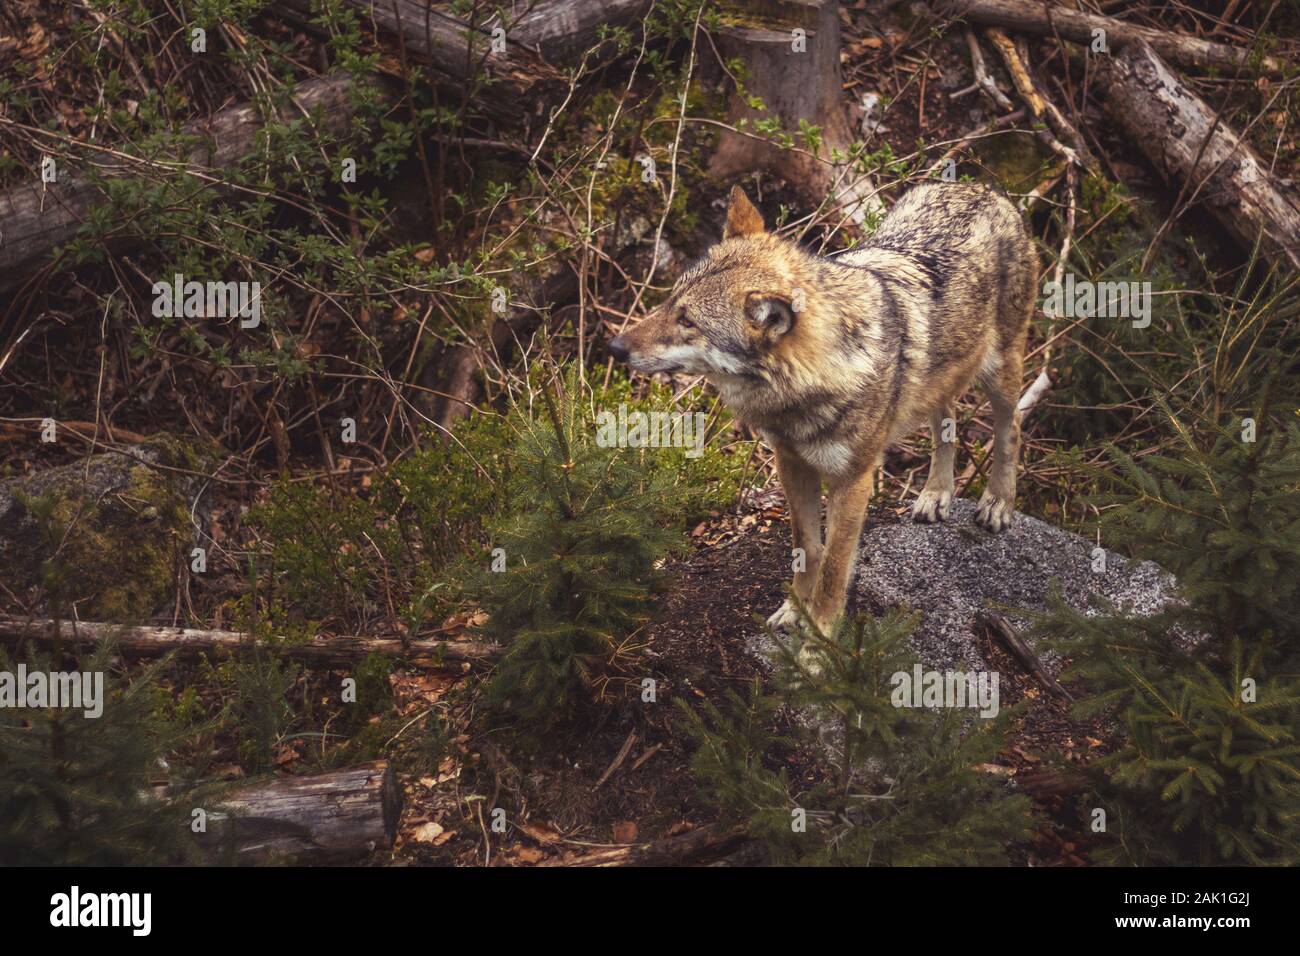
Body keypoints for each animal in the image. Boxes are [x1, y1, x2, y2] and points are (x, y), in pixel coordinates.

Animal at [608, 184, 1034, 639]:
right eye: (670, 302)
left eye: (688, 321)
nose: (614, 347)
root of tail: (980, 188)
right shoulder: (791, 462)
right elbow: (808, 547)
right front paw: (794, 611)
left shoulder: (854, 481)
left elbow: (834, 565)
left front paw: (820, 638)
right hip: (943, 378)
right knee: (946, 422)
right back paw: (936, 494)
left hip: (1000, 372)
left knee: (1011, 427)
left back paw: (998, 503)